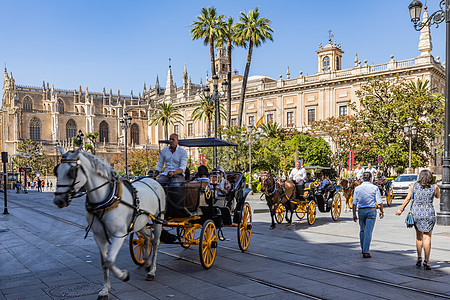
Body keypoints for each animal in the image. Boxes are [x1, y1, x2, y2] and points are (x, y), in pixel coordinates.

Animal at [53, 148, 165, 300]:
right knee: (147, 236)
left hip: (158, 219)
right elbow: (104, 262)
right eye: (56, 171)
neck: (106, 198)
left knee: (156, 243)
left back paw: (152, 270)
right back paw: (146, 262)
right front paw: (105, 289)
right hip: (140, 222)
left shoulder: (119, 234)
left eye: (72, 172)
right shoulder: (98, 235)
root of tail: (151, 179)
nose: (58, 200)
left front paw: (123, 275)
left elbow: (110, 261)